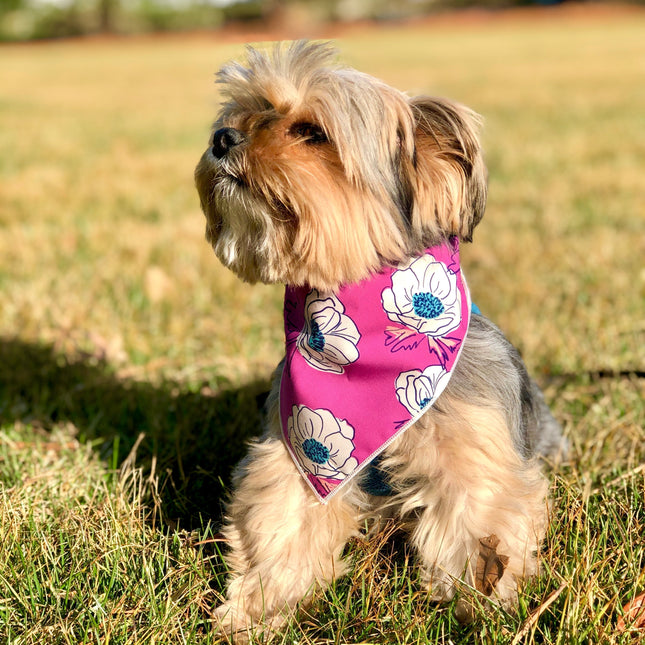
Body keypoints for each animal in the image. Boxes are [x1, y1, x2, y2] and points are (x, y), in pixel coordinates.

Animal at [192, 40, 564, 640]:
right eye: (246, 110)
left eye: (312, 132)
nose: (222, 137)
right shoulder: (296, 455)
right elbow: (280, 527)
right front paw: (256, 612)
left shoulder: (474, 455)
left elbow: (479, 534)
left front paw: (481, 613)